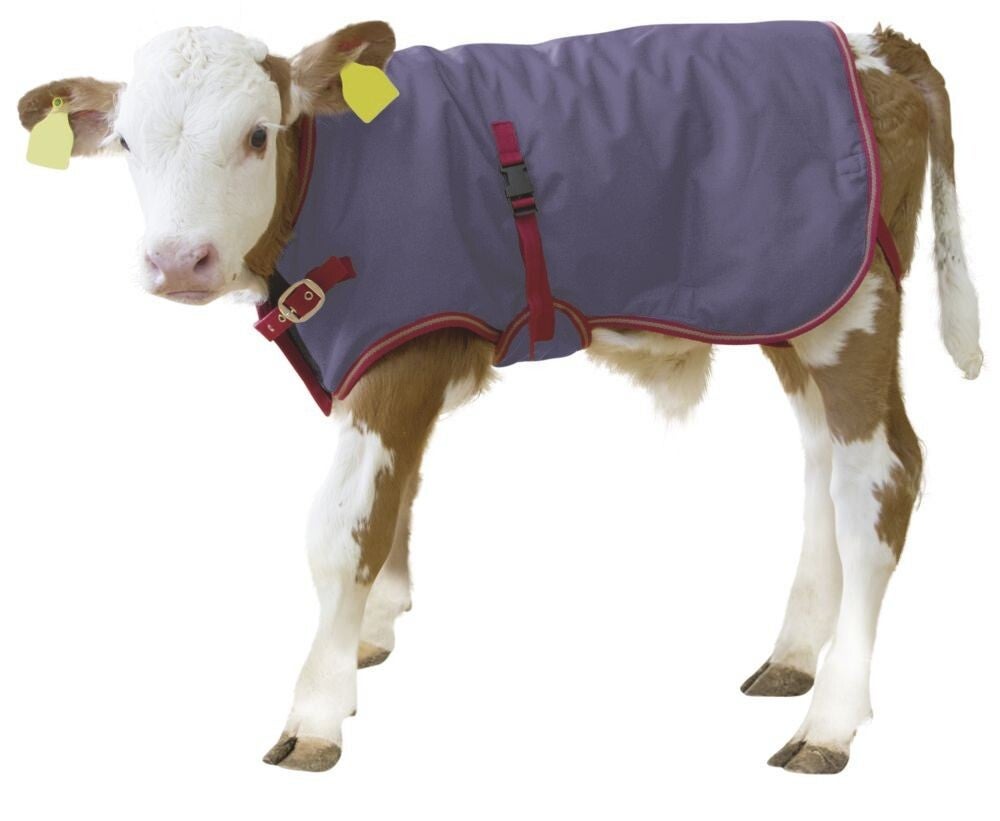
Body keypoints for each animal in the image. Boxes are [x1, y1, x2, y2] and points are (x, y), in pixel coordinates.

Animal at [17, 20, 982, 774]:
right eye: (130, 144)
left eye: (257, 134)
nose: (179, 260)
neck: (330, 176)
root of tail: (874, 44)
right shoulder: (400, 356)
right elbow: (398, 497)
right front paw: (368, 634)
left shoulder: (396, 354)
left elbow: (342, 530)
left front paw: (317, 709)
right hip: (801, 308)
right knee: (824, 464)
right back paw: (794, 655)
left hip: (853, 311)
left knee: (882, 480)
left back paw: (829, 722)